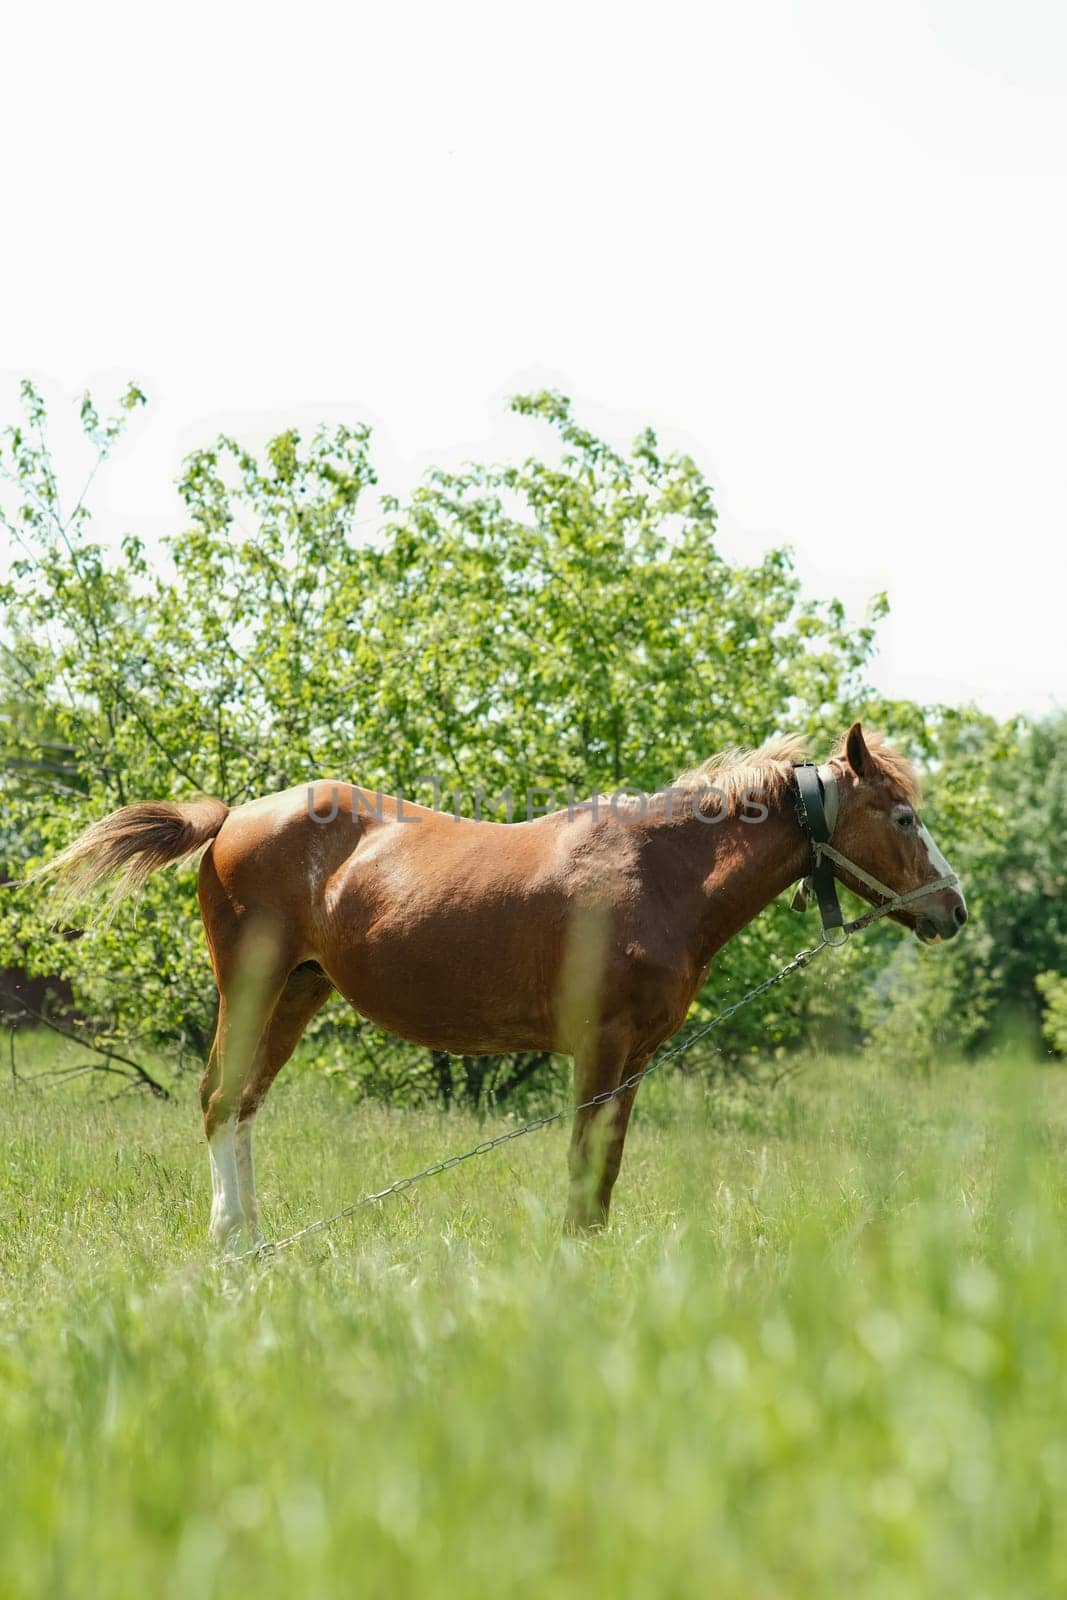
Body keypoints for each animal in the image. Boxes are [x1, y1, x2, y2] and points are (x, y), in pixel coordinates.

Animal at [37, 723, 966, 1248]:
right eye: (903, 816)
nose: (952, 910)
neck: (660, 871)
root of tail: (235, 817)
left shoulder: (634, 1058)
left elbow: (604, 1172)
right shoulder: (599, 1049)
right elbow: (583, 1170)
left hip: (298, 992)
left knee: (243, 1106)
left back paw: (254, 1244)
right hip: (252, 986)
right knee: (221, 1099)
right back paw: (231, 1246)